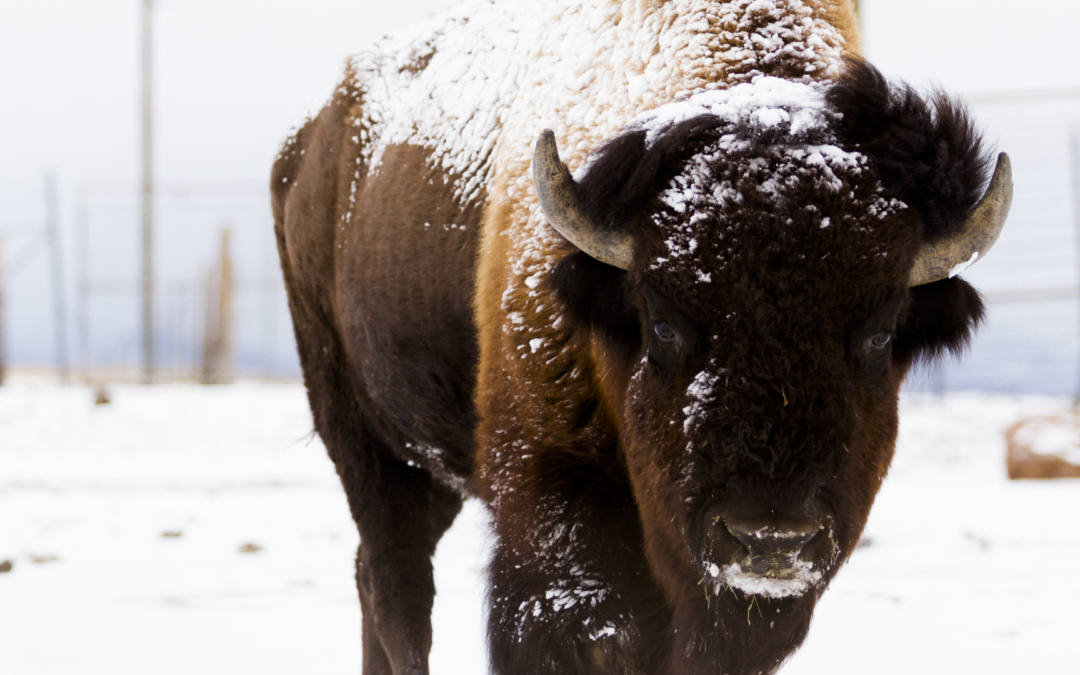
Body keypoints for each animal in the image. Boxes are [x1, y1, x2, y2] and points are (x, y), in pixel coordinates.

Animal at [270, 1, 1010, 673]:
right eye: (662, 322)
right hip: (363, 435)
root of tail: (307, 144)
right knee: (396, 583)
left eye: (883, 333)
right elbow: (596, 632)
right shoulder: (552, 498)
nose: (771, 539)